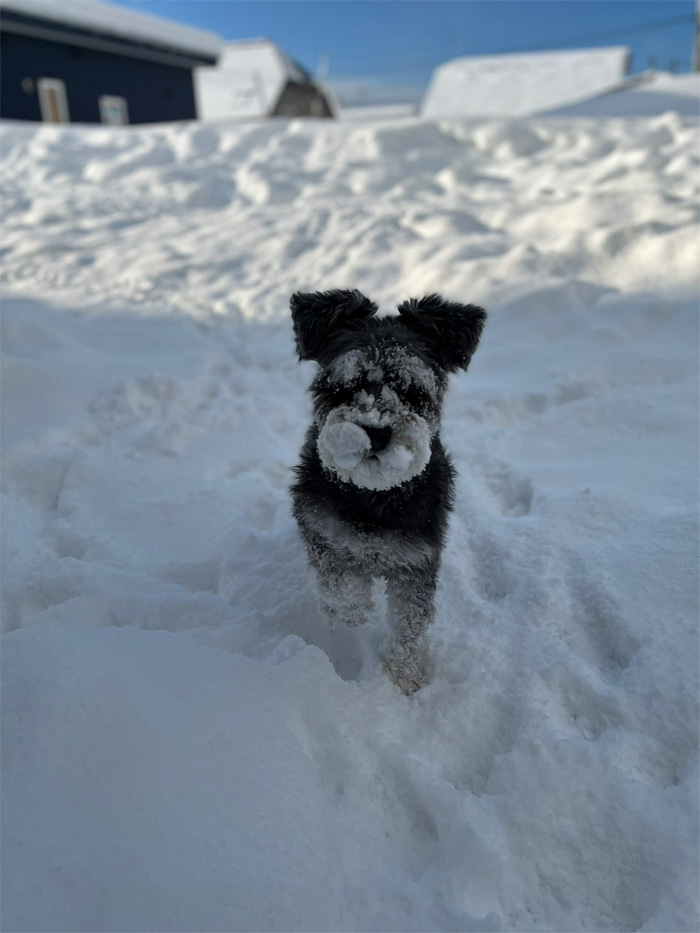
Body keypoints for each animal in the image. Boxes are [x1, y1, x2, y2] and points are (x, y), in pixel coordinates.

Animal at [290, 290, 486, 692]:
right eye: (346, 386)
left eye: (411, 390)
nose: (376, 431)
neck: (373, 493)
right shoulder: (322, 533)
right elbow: (343, 591)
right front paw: (351, 629)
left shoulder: (417, 561)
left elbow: (409, 628)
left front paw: (404, 681)